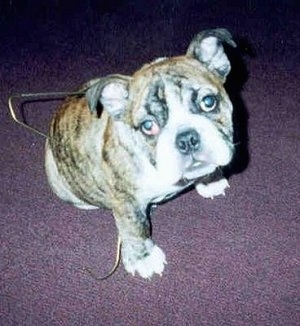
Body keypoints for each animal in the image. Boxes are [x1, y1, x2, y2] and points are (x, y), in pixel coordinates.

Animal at [44, 27, 237, 278]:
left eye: (208, 102)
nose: (187, 139)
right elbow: (134, 229)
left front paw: (211, 180)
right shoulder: (124, 200)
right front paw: (143, 258)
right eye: (148, 126)